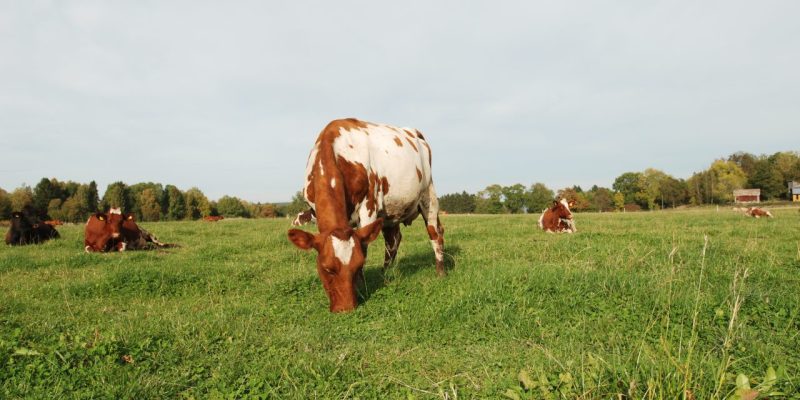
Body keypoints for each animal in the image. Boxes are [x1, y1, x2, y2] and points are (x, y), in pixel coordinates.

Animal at [286, 118, 444, 312]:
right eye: (327, 269)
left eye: (358, 265)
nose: (346, 308)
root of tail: (414, 132)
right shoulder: (315, 212)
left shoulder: (369, 206)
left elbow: (364, 246)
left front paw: (361, 287)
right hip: (390, 211)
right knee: (393, 239)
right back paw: (386, 273)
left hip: (428, 194)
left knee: (434, 232)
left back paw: (440, 272)